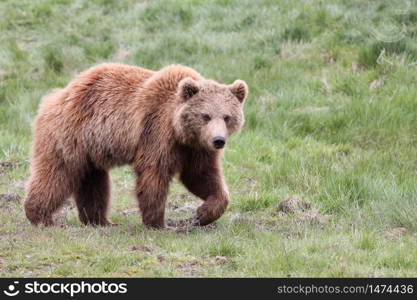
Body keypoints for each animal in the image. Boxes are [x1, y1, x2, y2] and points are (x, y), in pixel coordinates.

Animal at [24, 62, 247, 227]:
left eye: (226, 117)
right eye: (205, 116)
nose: (218, 140)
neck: (181, 132)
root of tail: (56, 95)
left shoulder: (196, 149)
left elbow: (201, 175)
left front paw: (203, 213)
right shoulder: (157, 131)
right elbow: (153, 174)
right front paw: (158, 223)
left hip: (91, 148)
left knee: (93, 181)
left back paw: (99, 220)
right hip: (70, 134)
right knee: (56, 172)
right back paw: (40, 216)